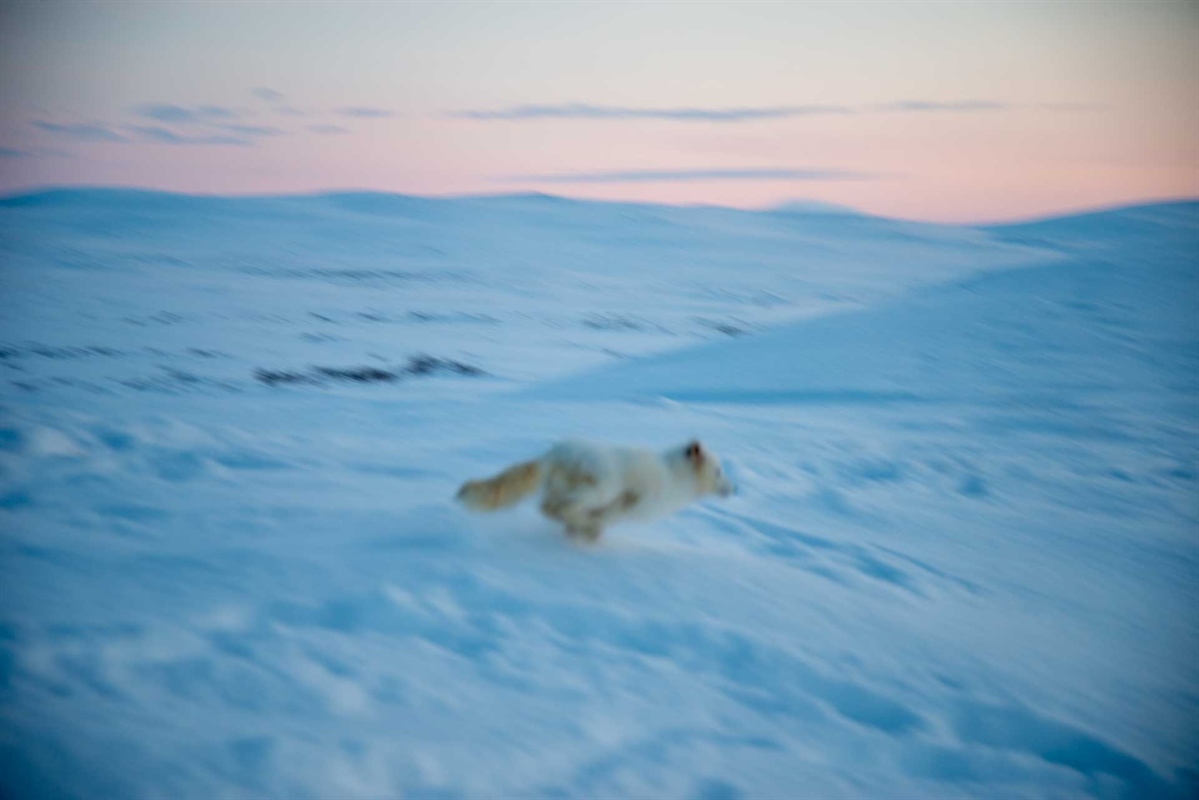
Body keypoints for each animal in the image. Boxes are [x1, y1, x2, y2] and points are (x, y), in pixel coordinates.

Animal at [455, 438, 728, 544]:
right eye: (718, 471)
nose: (733, 488)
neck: (674, 476)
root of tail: (551, 456)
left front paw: (582, 533)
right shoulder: (630, 500)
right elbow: (608, 517)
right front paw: (589, 532)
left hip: (564, 490)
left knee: (548, 508)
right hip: (602, 487)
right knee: (561, 507)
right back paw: (579, 521)